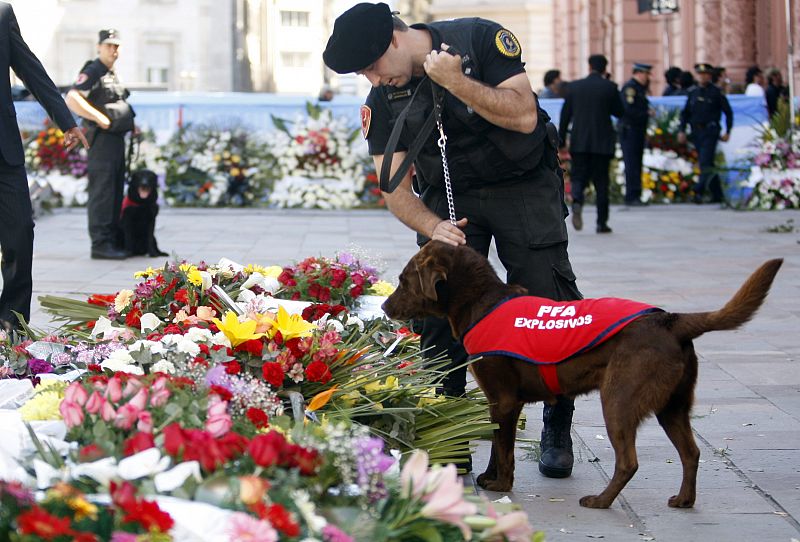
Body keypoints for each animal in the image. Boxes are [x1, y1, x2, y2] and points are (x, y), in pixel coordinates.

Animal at [382, 242, 780, 510]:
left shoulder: (505, 399)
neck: (483, 301)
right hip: (673, 406)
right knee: (692, 452)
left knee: (629, 461)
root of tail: (671, 320)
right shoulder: (502, 403)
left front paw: (500, 485)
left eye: (403, 280)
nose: (384, 305)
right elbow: (497, 442)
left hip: (618, 399)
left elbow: (505, 449)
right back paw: (683, 500)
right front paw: (489, 478)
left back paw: (600, 501)